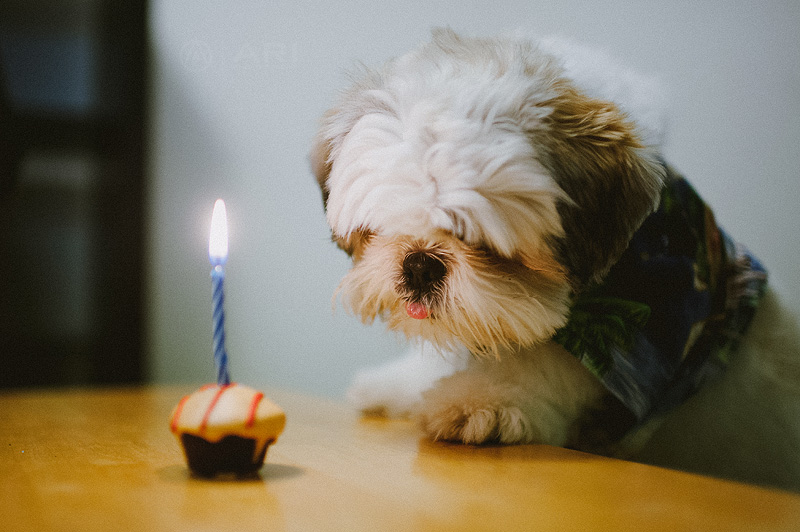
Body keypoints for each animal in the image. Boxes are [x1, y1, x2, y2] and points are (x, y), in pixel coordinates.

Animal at [308, 29, 800, 490]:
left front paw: (486, 399)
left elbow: (543, 357)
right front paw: (400, 383)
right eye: (382, 226)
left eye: (481, 242)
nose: (418, 264)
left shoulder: (647, 326)